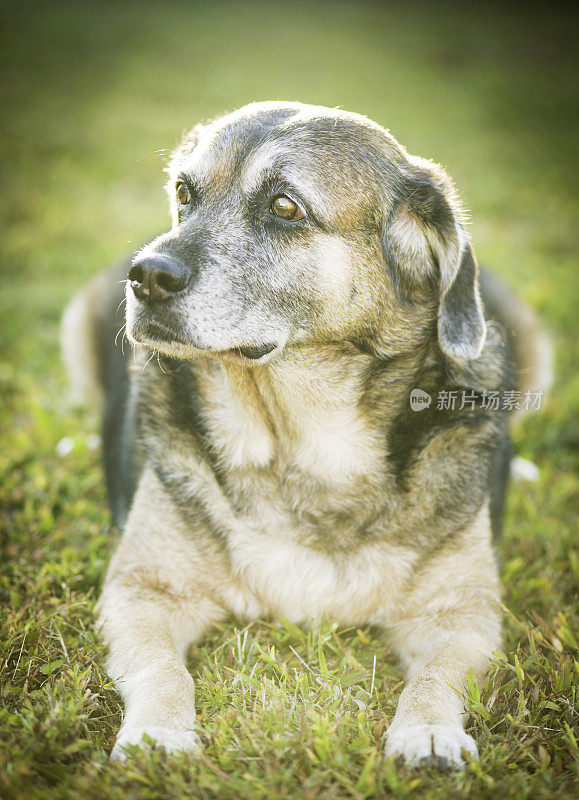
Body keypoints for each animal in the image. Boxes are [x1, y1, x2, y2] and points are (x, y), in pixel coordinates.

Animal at [62, 100, 552, 768]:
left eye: (285, 206)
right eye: (184, 193)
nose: (145, 276)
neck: (301, 449)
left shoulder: (463, 611)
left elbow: (438, 676)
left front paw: (428, 731)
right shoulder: (142, 590)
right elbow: (162, 668)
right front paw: (158, 732)